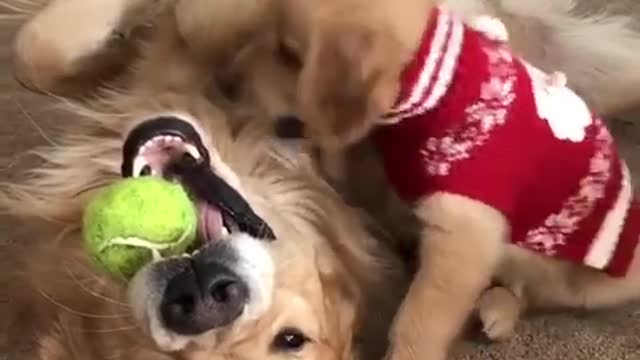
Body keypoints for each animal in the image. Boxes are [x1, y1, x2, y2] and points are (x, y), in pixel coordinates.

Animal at [282, 0, 640, 360]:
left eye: (287, 53)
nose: (287, 127)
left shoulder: (465, 224)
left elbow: (421, 319)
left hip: (580, 281)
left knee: (532, 289)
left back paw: (498, 310)